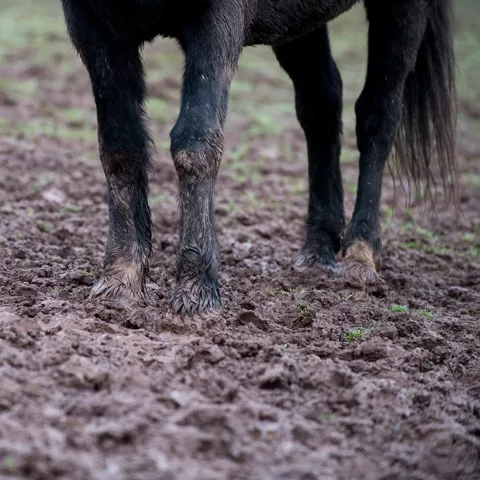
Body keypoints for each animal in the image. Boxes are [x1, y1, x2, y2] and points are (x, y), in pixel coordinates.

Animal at [61, 0, 458, 316]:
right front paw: (120, 280)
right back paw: (317, 251)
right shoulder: (92, 24)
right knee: (322, 104)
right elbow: (120, 147)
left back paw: (360, 255)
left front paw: (196, 290)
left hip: (401, 11)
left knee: (378, 114)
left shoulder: (217, 20)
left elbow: (195, 140)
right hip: (302, 25)